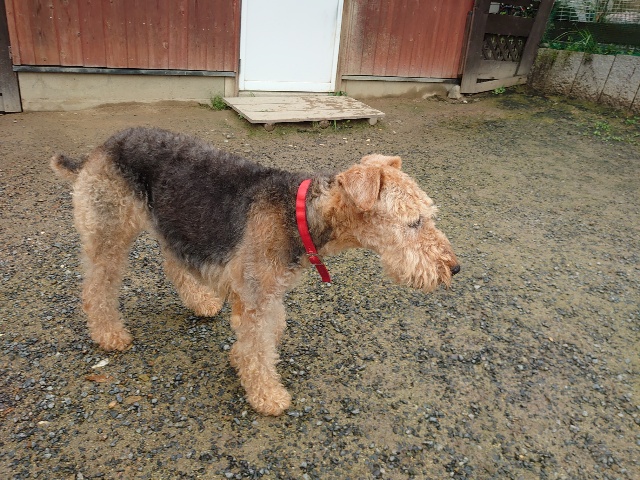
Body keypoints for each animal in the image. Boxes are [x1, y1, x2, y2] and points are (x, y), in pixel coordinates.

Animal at [51, 127, 459, 415]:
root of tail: (98, 149)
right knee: (97, 286)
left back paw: (200, 301)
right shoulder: (256, 294)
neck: (300, 215)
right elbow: (259, 346)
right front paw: (267, 395)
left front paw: (241, 360)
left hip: (175, 221)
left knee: (172, 262)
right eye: (413, 222)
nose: (454, 268)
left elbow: (267, 336)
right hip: (110, 230)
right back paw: (109, 334)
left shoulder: (268, 290)